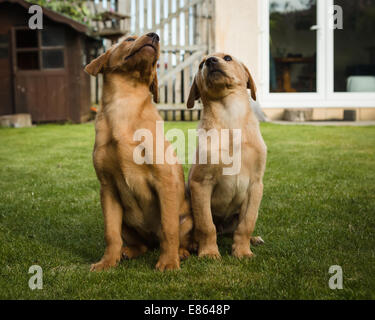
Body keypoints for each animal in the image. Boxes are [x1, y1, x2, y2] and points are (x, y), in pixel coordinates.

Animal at [187, 52, 266, 258]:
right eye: (200, 65)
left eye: (228, 58)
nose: (210, 61)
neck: (230, 119)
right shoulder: (200, 183)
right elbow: (206, 225)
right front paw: (208, 252)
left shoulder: (255, 185)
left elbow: (246, 224)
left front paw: (243, 251)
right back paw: (193, 244)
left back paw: (254, 239)